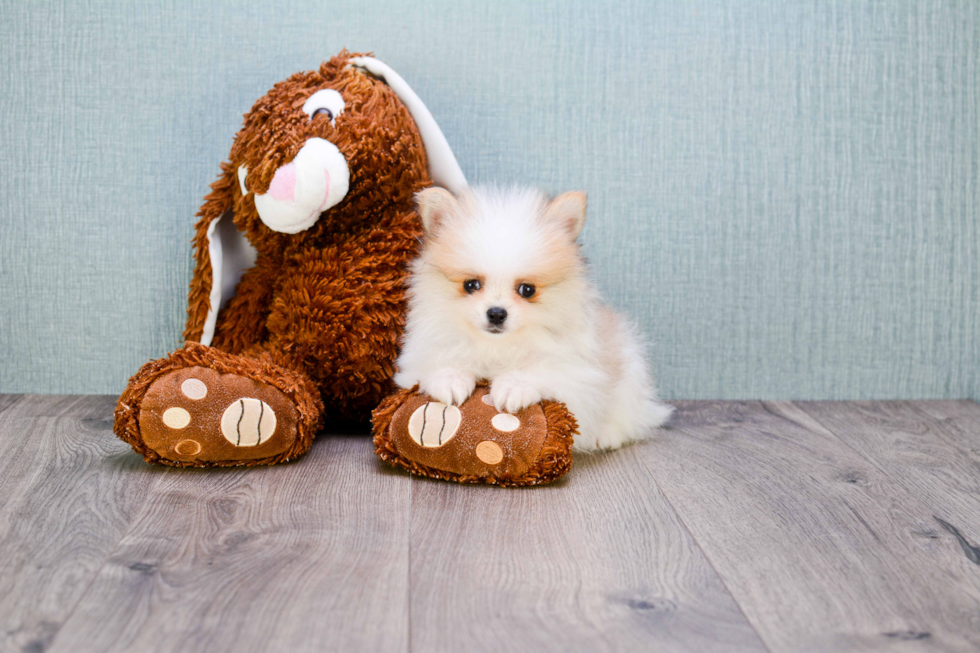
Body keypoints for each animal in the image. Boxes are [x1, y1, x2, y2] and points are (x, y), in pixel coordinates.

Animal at [392, 183, 672, 448]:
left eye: (527, 290)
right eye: (471, 285)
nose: (496, 313)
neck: (496, 347)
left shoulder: (577, 374)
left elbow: (543, 369)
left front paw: (513, 387)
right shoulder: (417, 358)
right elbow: (438, 361)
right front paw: (450, 380)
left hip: (630, 374)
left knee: (628, 419)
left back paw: (605, 437)